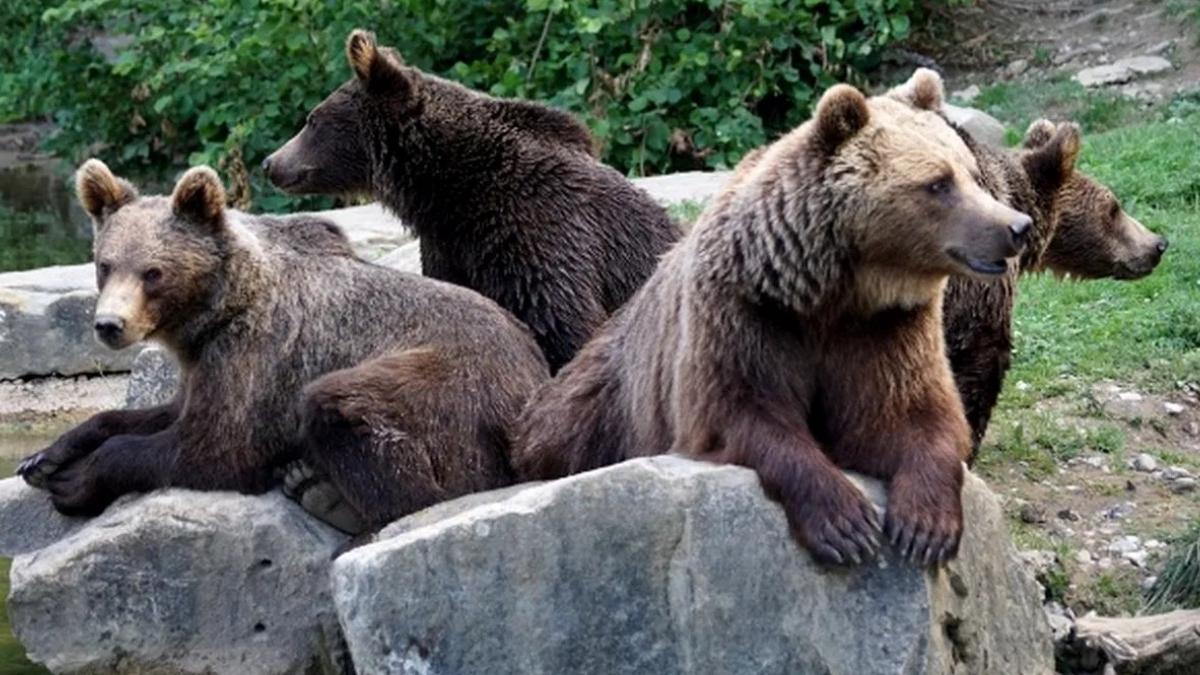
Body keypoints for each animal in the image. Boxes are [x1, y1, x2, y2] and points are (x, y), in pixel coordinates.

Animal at [264, 28, 686, 369]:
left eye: (312, 120)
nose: (271, 163)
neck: (449, 188)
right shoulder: (451, 244)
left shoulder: (540, 231)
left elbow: (561, 324)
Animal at [508, 85, 1032, 566]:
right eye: (938, 183)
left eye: (971, 174)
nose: (1016, 226)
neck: (830, 290)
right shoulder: (745, 312)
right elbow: (745, 412)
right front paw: (845, 524)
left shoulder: (887, 328)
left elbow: (908, 413)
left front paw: (924, 526)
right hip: (591, 414)